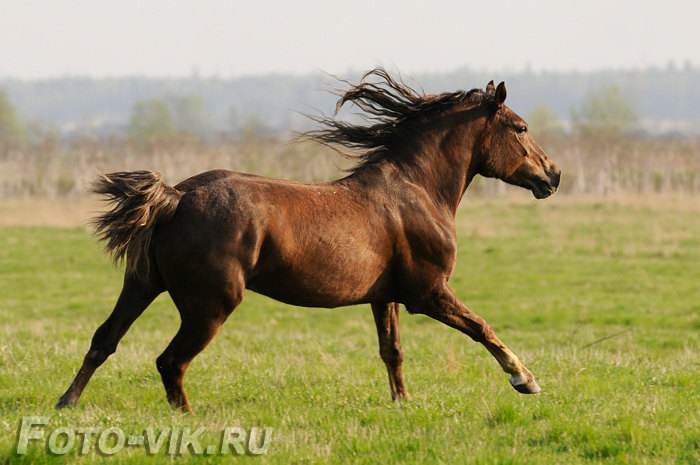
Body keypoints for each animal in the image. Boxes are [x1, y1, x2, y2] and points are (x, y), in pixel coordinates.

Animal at [60, 68, 564, 410]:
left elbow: (393, 350)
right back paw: (187, 418)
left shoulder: (385, 296)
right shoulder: (428, 293)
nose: (553, 175)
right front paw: (526, 380)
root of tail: (176, 196)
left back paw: (66, 403)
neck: (418, 191)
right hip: (210, 304)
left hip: (142, 285)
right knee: (170, 361)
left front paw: (402, 403)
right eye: (520, 127)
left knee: (104, 339)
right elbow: (482, 327)